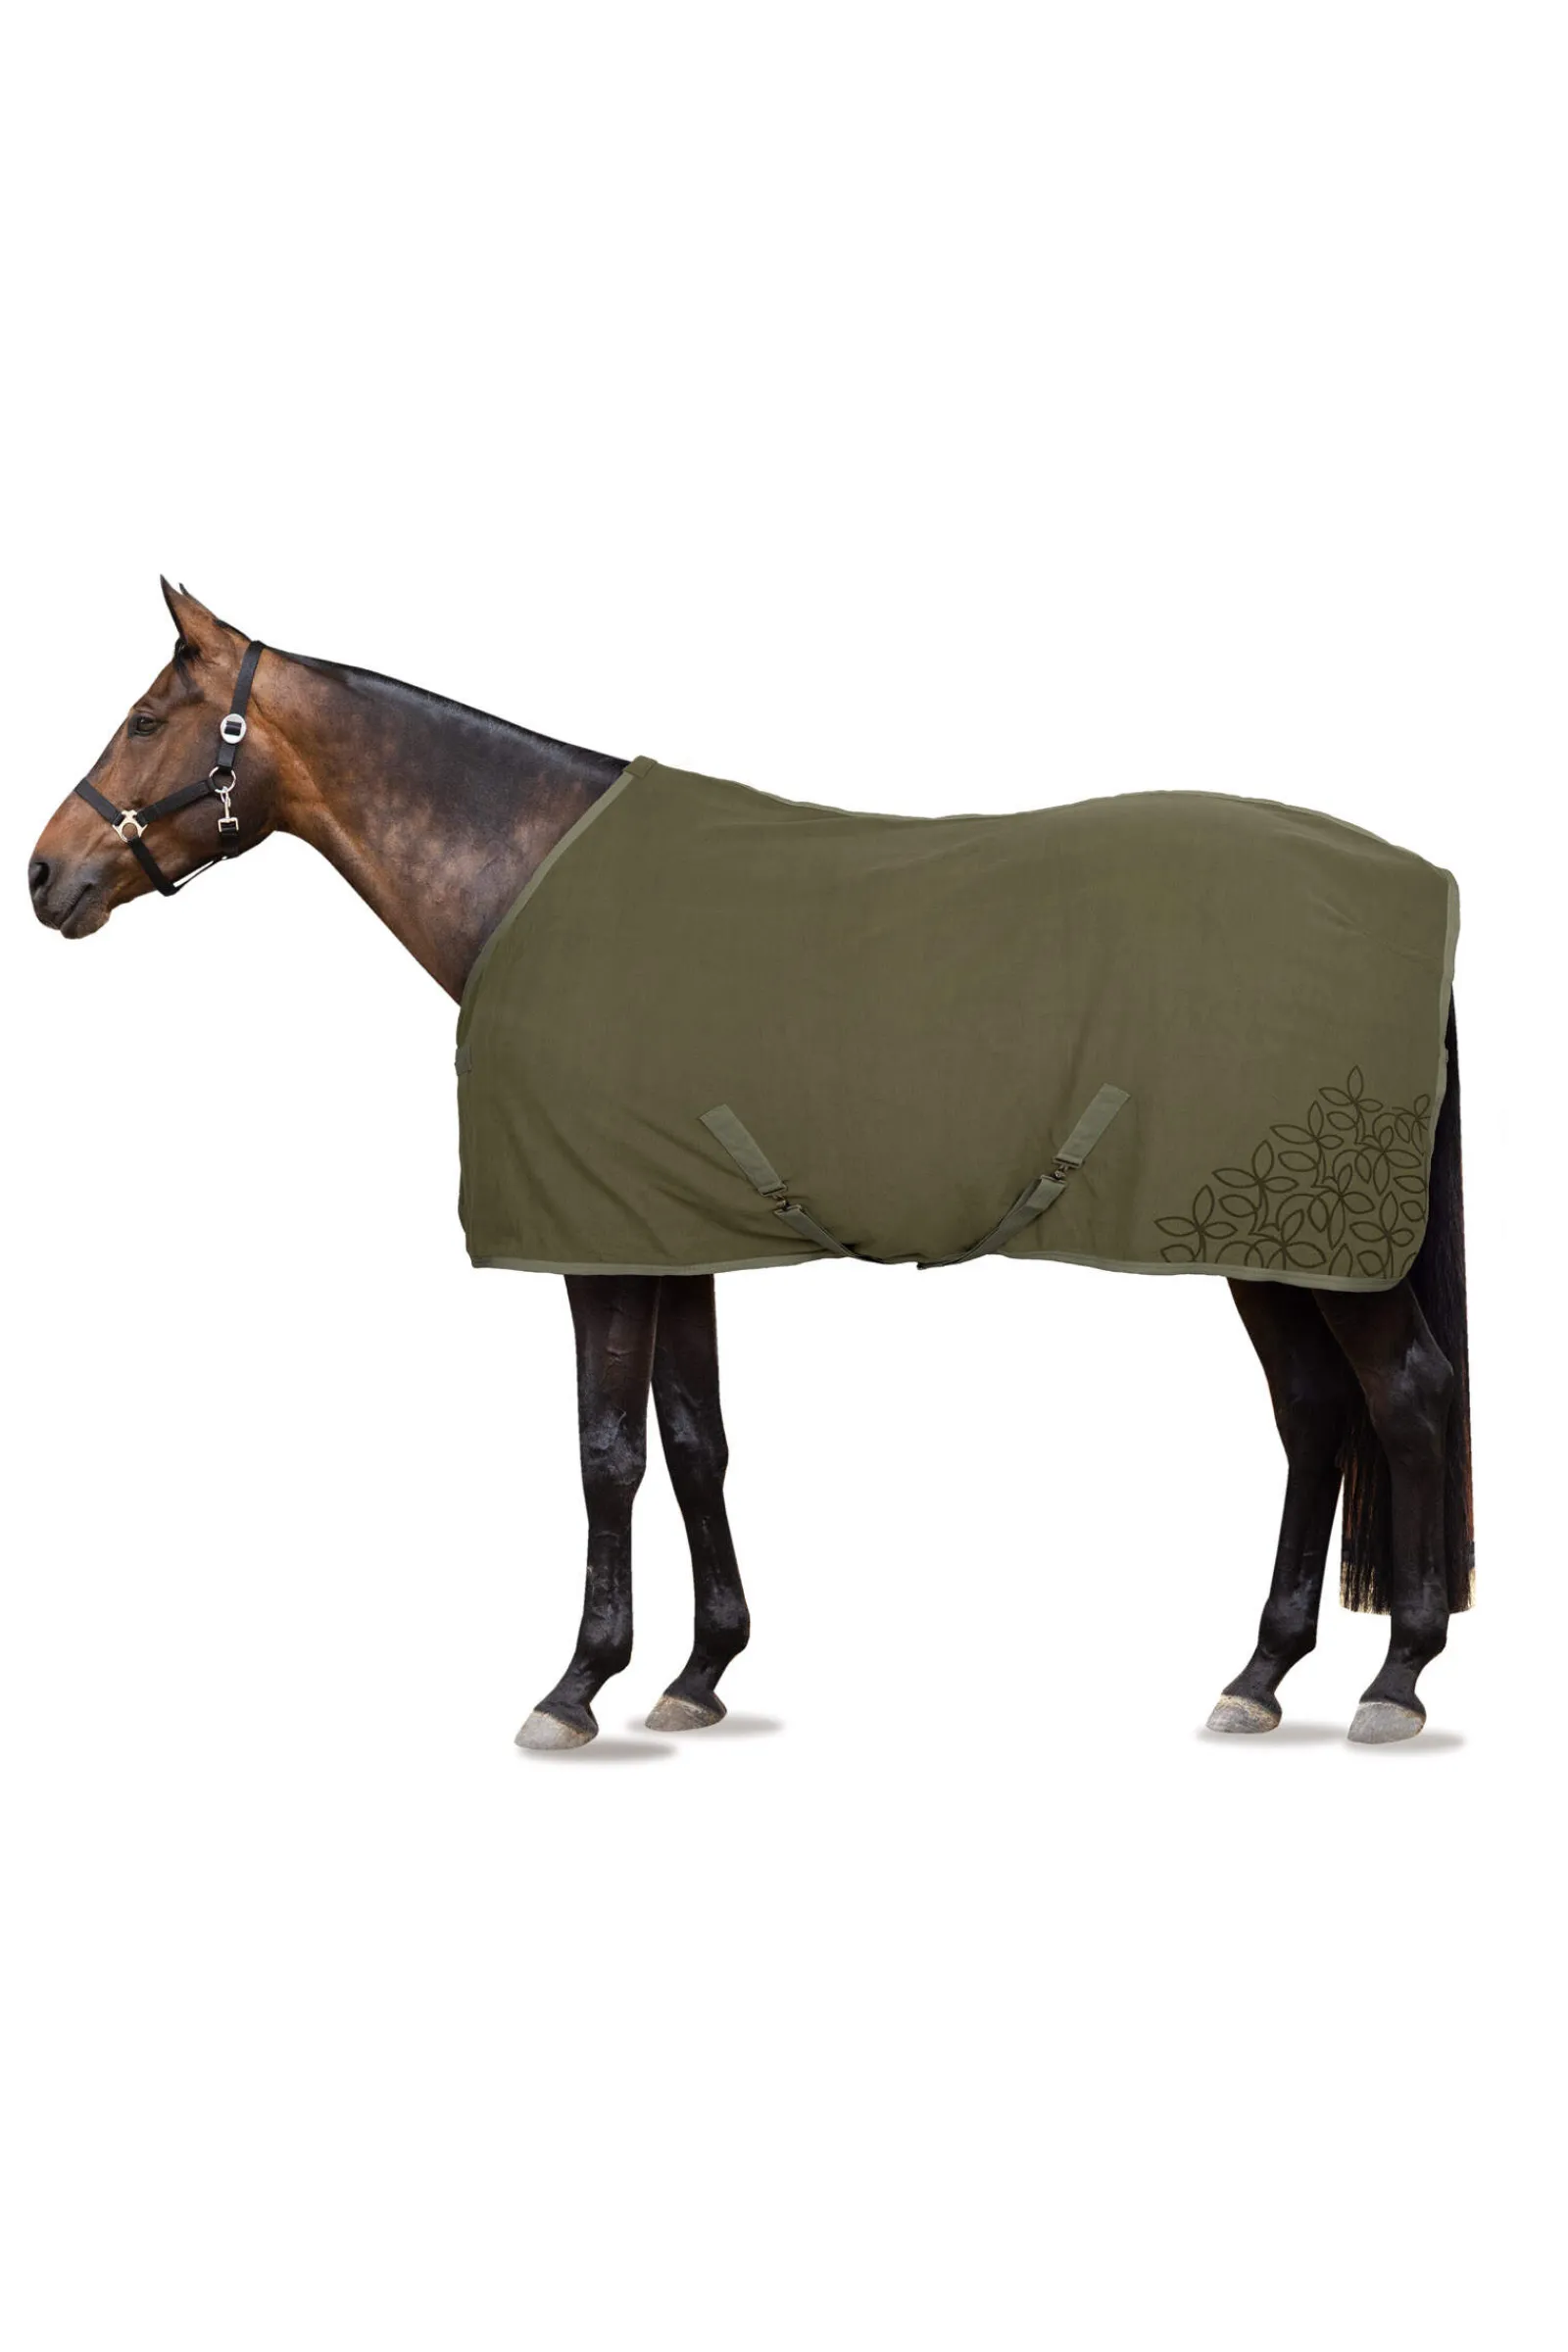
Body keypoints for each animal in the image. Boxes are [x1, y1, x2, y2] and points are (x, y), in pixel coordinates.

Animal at [29, 582, 1473, 1750]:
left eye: (149, 719)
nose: (46, 876)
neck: (530, 876)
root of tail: (1418, 888)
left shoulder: (598, 1246)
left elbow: (607, 1451)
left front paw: (576, 1687)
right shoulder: (668, 1230)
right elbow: (694, 1439)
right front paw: (698, 1672)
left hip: (1309, 1240)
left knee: (1403, 1398)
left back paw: (1397, 1679)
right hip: (1260, 1243)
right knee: (1316, 1416)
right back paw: (1261, 1674)